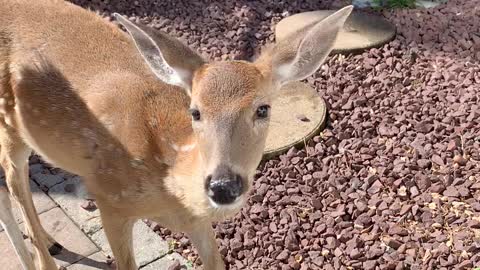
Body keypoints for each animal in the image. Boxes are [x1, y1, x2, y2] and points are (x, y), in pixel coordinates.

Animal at [0, 0, 352, 268]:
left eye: (263, 109)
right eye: (195, 111)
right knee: (12, 177)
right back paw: (41, 260)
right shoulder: (108, 197)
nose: (223, 186)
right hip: (9, 122)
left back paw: (49, 241)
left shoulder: (198, 223)